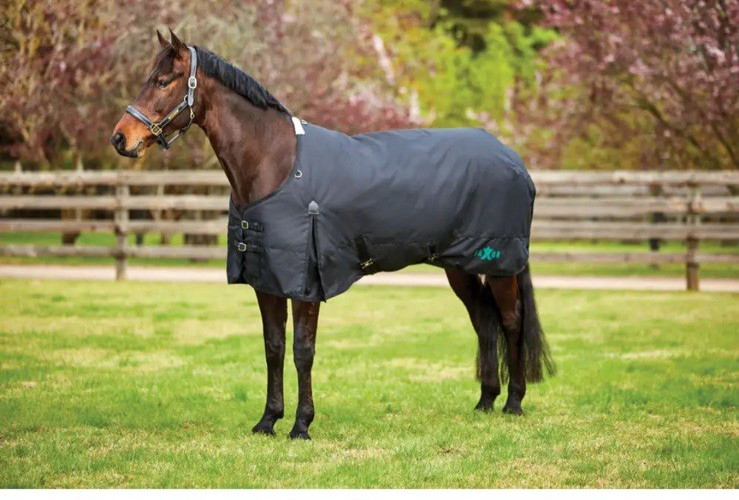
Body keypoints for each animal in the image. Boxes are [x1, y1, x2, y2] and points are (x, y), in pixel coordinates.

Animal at [111, 30, 555, 440]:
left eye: (163, 81)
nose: (120, 138)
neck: (274, 162)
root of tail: (512, 159)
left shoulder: (306, 281)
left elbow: (302, 351)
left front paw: (301, 425)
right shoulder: (267, 278)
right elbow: (273, 348)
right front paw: (268, 420)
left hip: (499, 265)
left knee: (511, 321)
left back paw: (514, 402)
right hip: (459, 266)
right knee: (483, 320)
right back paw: (485, 401)